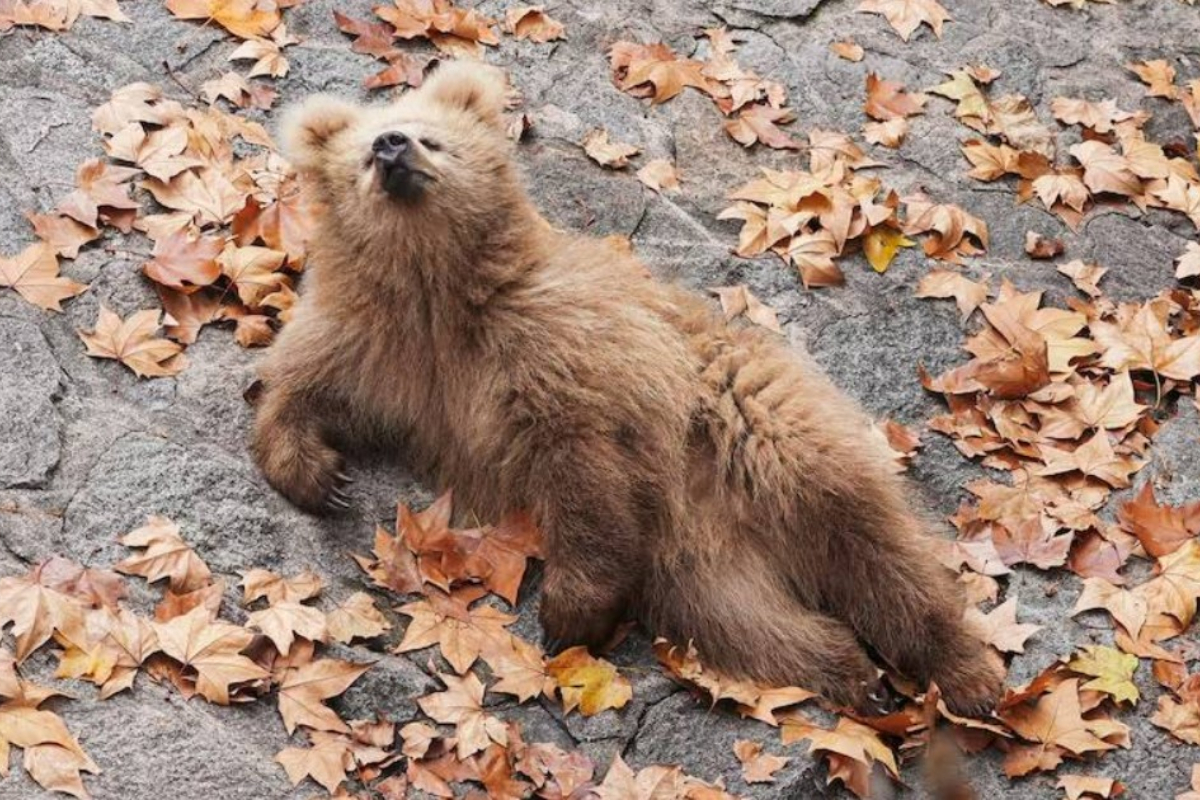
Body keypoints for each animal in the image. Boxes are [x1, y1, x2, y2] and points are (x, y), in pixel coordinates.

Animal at [251, 61, 1005, 715]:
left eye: (430, 135)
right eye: (361, 152)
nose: (391, 145)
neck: (437, 292)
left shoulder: (557, 351)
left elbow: (584, 469)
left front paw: (566, 611)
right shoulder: (383, 353)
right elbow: (300, 386)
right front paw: (319, 475)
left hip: (767, 433)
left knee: (876, 550)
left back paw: (967, 675)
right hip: (697, 567)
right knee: (747, 623)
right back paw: (851, 672)